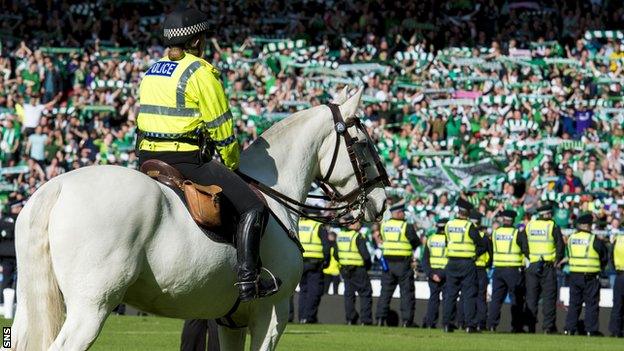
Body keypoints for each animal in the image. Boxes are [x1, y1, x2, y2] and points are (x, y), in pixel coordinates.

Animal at [9, 87, 388, 350]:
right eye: (363, 143)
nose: (381, 202)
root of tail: (58, 186)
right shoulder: (271, 314)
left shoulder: (231, 321)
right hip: (91, 309)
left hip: (31, 305)